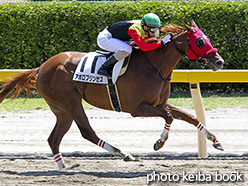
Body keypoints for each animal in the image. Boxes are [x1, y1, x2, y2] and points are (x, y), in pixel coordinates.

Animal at [0, 21, 225, 169]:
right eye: (200, 41)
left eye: (206, 39)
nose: (219, 61)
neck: (153, 66)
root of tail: (42, 67)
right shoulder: (137, 108)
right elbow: (169, 117)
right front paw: (159, 143)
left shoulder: (159, 103)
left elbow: (189, 116)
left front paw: (215, 139)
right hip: (70, 101)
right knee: (87, 132)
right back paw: (124, 154)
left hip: (61, 109)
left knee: (54, 139)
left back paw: (63, 167)